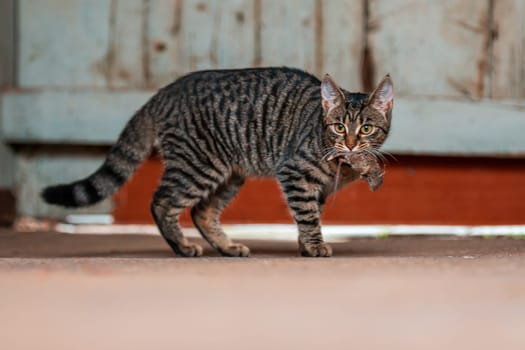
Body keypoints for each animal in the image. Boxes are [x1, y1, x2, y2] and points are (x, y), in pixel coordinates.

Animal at [42, 67, 392, 258]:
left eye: (366, 129)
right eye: (339, 127)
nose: (350, 143)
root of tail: (164, 91)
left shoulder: (316, 188)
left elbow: (310, 215)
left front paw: (306, 245)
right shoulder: (294, 172)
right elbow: (306, 216)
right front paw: (314, 245)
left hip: (229, 174)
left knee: (202, 211)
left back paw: (227, 247)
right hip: (198, 166)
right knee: (162, 202)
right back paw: (182, 247)